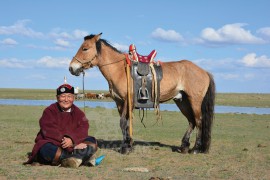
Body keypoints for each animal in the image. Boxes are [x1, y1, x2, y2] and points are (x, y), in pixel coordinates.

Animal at [69, 33, 215, 154]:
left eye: (85, 48)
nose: (71, 68)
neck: (119, 70)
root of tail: (204, 71)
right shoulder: (119, 102)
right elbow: (126, 123)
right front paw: (129, 144)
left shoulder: (127, 101)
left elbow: (123, 122)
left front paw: (125, 147)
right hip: (181, 101)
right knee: (191, 121)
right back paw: (184, 146)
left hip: (194, 101)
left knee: (199, 120)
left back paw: (195, 148)